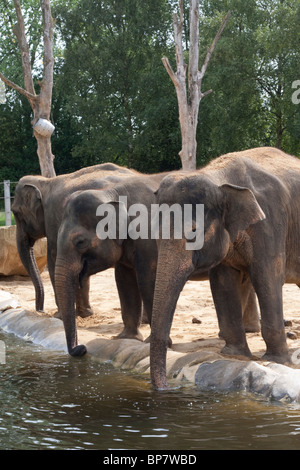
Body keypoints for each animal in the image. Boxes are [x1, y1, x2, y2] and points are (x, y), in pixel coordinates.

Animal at [11, 162, 136, 316]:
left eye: (16, 213)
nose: (41, 310)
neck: (45, 183)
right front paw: (85, 314)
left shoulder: (52, 220)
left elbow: (53, 260)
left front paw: (59, 316)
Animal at [150, 147, 300, 390]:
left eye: (194, 231)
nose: (166, 388)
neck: (219, 177)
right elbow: (222, 282)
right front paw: (235, 354)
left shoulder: (270, 223)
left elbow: (267, 276)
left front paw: (276, 360)